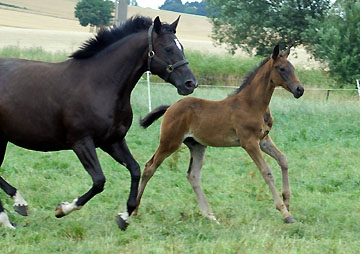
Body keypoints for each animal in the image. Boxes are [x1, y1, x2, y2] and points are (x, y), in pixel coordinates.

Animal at [0, 15, 197, 230]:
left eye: (182, 47)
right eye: (168, 48)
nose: (190, 83)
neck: (99, 84)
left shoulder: (113, 141)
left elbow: (135, 170)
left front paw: (124, 217)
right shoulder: (81, 143)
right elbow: (99, 181)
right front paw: (63, 209)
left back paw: (16, 207)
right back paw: (11, 214)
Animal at [135, 44, 304, 223]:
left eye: (293, 68)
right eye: (281, 68)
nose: (300, 90)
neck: (252, 104)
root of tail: (170, 107)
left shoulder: (263, 139)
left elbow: (283, 160)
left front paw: (287, 202)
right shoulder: (249, 142)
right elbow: (267, 171)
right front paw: (285, 213)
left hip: (197, 145)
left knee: (193, 176)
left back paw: (210, 215)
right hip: (170, 142)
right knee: (149, 167)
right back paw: (134, 210)